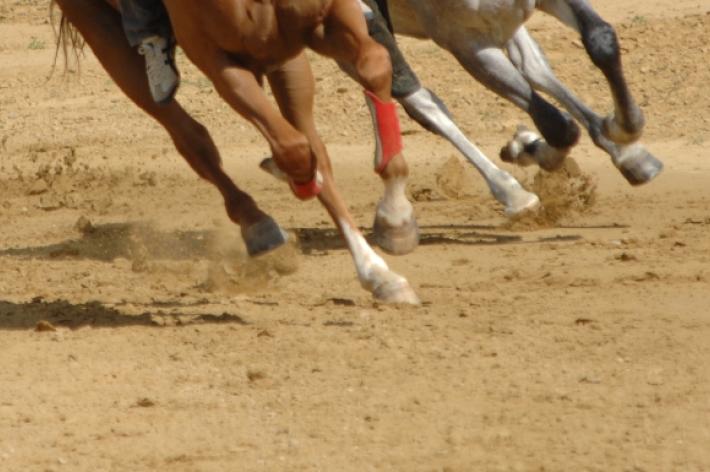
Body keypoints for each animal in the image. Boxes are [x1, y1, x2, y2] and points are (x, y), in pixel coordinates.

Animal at [54, 0, 422, 302]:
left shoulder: (314, 30)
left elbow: (375, 66)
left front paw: (394, 222)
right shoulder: (221, 62)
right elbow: (292, 149)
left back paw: (376, 270)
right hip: (103, 34)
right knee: (193, 140)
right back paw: (258, 224)